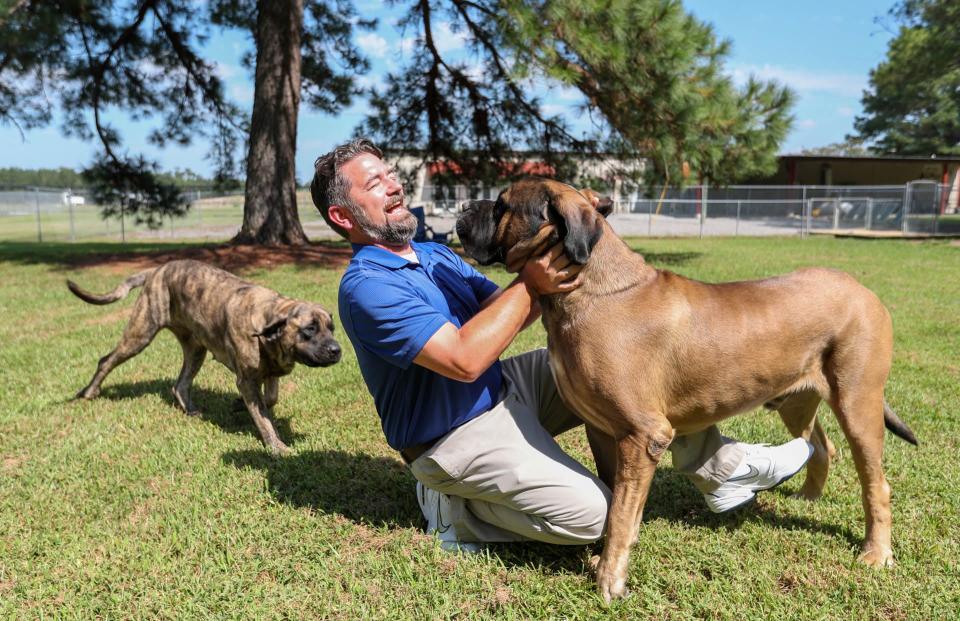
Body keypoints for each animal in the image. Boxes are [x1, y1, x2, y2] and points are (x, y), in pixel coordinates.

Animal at [67, 260, 340, 452]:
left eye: (332, 328)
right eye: (310, 329)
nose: (336, 350)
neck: (267, 319)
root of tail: (156, 270)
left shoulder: (270, 372)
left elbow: (270, 399)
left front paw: (240, 405)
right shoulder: (247, 380)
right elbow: (264, 419)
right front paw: (276, 446)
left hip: (195, 349)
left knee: (180, 385)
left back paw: (189, 410)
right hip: (140, 334)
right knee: (106, 360)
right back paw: (89, 392)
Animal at [454, 178, 920, 600]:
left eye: (502, 205)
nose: (462, 206)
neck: (593, 287)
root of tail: (862, 289)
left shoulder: (643, 435)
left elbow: (621, 513)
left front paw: (610, 580)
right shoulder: (604, 432)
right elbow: (613, 499)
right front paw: (603, 559)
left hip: (858, 402)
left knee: (875, 483)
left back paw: (876, 553)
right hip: (796, 400)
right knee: (820, 445)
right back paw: (807, 497)